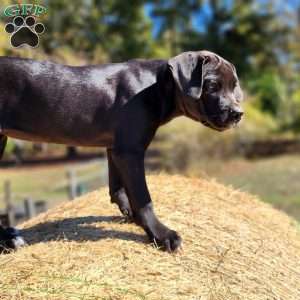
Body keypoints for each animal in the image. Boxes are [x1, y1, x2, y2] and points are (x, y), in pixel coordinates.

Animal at [0, 50, 244, 252]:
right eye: (211, 86)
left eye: (234, 86)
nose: (238, 114)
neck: (156, 85)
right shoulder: (129, 150)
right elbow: (143, 197)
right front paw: (161, 235)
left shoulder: (116, 148)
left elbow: (118, 186)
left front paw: (133, 216)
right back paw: (9, 240)